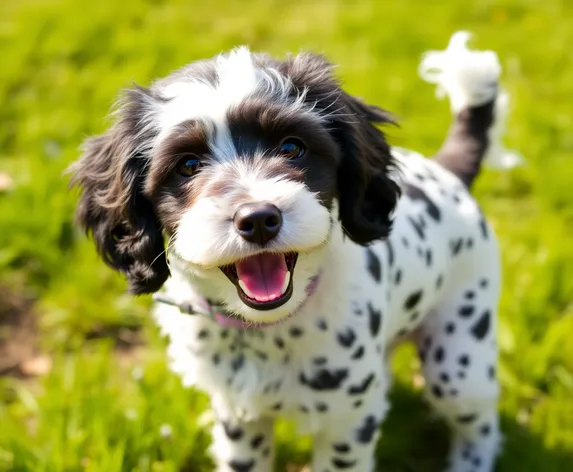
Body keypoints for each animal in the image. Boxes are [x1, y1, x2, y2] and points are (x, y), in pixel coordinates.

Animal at [68, 31, 520, 470]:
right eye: (188, 165)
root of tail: (448, 171)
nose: (258, 219)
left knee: (480, 424)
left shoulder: (346, 422)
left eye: (291, 148)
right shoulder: (237, 414)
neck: (266, 331)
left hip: (459, 362)